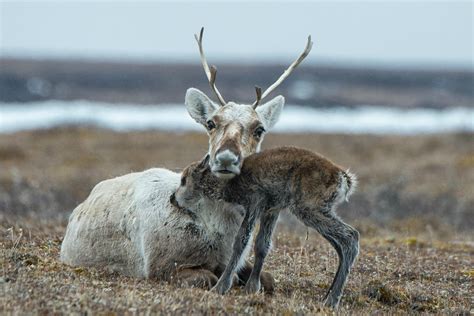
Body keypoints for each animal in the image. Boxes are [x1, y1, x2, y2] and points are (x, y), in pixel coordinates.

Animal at [175, 147, 360, 308]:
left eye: (184, 180)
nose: (173, 198)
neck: (229, 182)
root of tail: (344, 178)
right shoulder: (271, 210)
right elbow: (261, 245)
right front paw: (252, 288)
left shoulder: (255, 204)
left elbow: (241, 242)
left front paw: (220, 287)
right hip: (316, 212)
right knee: (340, 246)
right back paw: (328, 296)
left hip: (309, 209)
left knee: (351, 236)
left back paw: (332, 300)